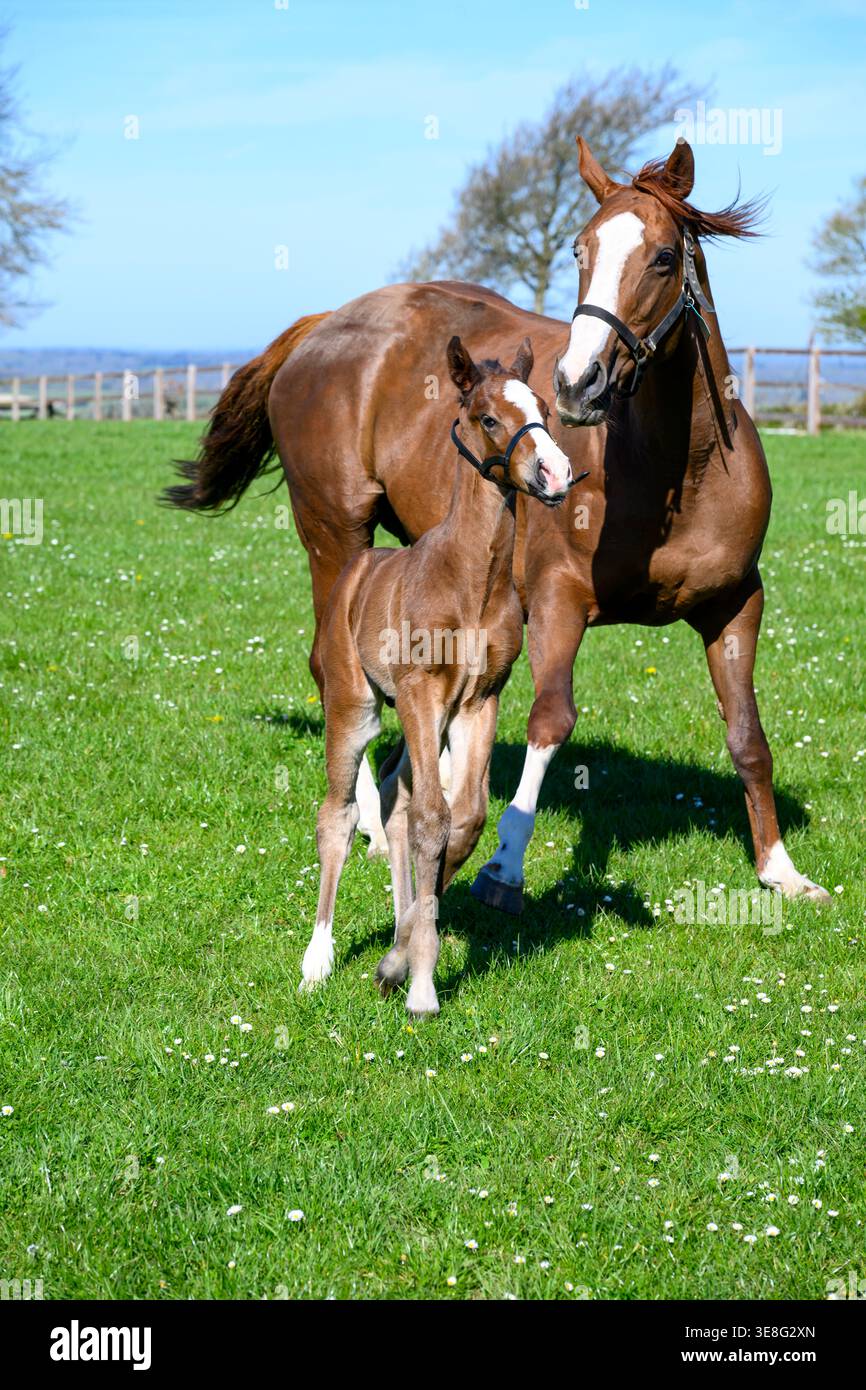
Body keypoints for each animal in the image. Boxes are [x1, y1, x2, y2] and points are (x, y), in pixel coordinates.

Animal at [163, 136, 830, 913]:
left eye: (664, 257)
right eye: (580, 248)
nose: (577, 384)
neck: (681, 471)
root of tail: (322, 325)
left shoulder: (737, 604)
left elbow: (747, 733)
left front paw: (779, 868)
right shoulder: (559, 601)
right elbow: (550, 722)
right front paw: (504, 864)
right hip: (336, 537)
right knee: (336, 677)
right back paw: (377, 827)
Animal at [299, 336, 572, 1013]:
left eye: (546, 412)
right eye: (488, 417)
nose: (557, 474)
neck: (471, 579)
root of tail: (354, 571)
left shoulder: (480, 699)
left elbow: (463, 816)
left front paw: (400, 955)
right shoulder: (424, 693)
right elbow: (431, 819)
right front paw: (419, 981)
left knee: (393, 804)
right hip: (356, 707)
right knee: (339, 815)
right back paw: (317, 958)